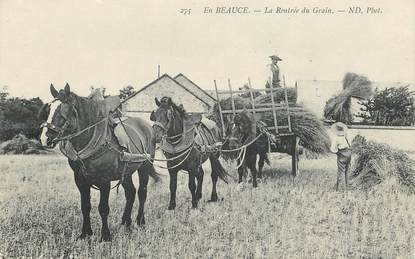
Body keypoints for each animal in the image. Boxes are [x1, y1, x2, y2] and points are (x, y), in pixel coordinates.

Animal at [39, 84, 160, 243]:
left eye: (64, 112)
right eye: (48, 110)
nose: (46, 139)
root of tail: (147, 126)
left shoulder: (104, 180)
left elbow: (103, 208)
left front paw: (105, 236)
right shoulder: (80, 179)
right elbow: (85, 206)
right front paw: (85, 234)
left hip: (145, 166)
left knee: (141, 192)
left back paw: (140, 222)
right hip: (126, 171)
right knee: (130, 193)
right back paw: (126, 223)